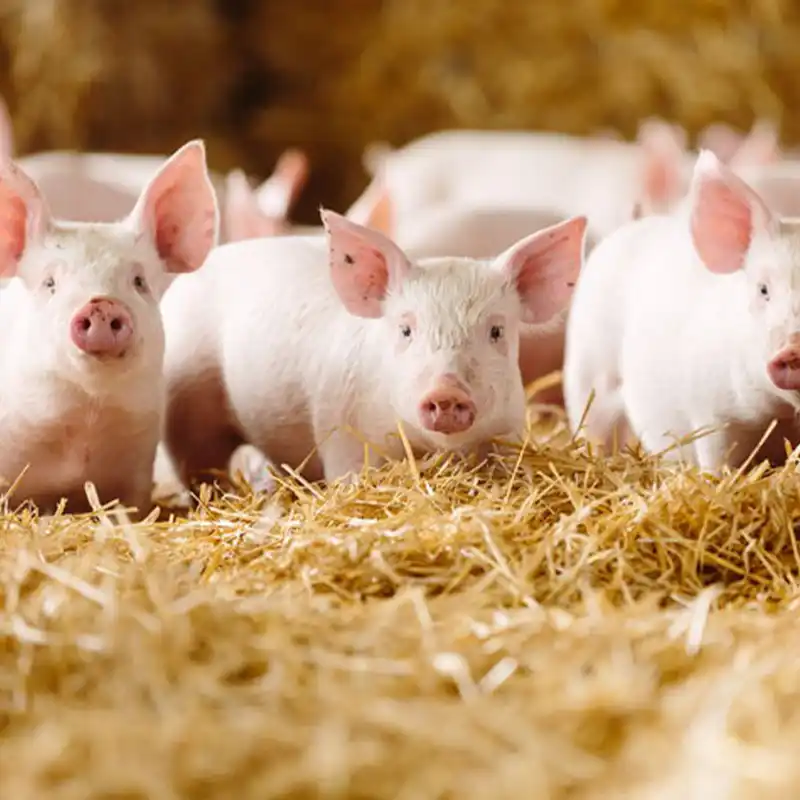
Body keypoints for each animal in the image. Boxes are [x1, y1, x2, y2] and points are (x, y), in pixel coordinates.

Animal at [160, 211, 588, 491]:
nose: (446, 390)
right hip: (187, 405)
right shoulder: (343, 432)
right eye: (405, 329)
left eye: (496, 330)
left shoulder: (508, 430)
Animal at [563, 149, 800, 473]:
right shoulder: (712, 412)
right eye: (763, 289)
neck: (784, 416)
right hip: (590, 371)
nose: (794, 345)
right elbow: (717, 460)